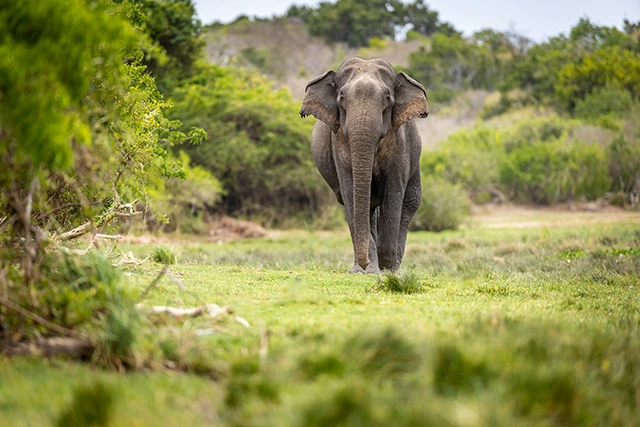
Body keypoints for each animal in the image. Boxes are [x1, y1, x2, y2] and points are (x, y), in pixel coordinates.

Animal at [300, 57, 429, 273]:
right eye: (341, 97)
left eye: (387, 97)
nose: (365, 263)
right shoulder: (339, 143)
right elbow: (351, 193)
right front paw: (367, 270)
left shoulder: (399, 143)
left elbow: (393, 193)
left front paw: (387, 269)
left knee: (411, 201)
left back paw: (392, 266)